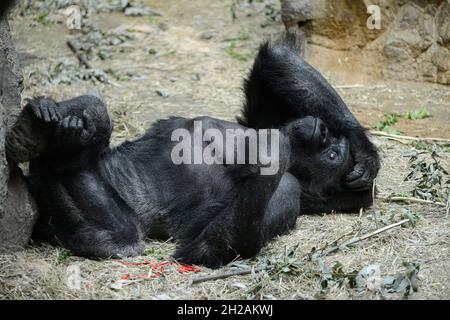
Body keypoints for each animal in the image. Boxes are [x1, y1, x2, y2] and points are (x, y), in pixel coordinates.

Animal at [6, 33, 380, 268]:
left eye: (331, 157)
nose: (325, 134)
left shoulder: (289, 192)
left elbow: (209, 247)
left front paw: (273, 156)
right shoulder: (264, 119)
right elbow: (274, 60)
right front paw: (365, 151)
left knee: (122, 237)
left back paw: (56, 153)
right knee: (97, 112)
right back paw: (39, 124)